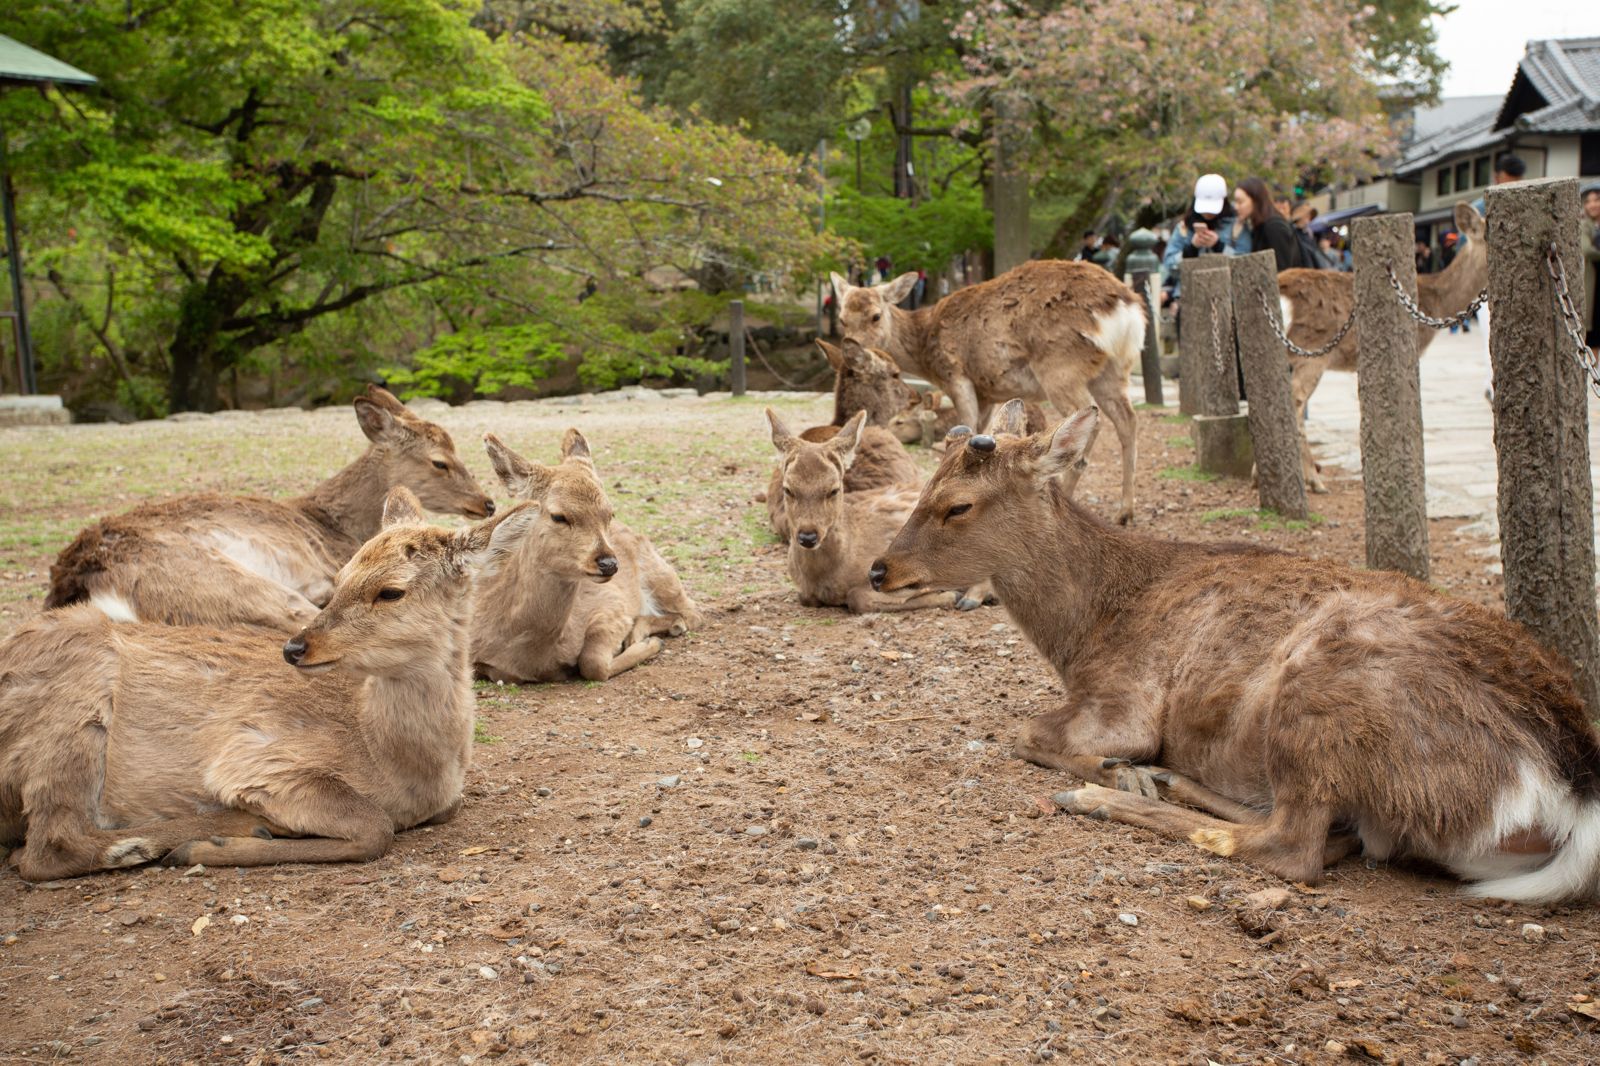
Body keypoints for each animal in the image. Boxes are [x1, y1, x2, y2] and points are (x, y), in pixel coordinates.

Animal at [0, 489, 538, 881]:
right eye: (340, 575)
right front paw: (209, 844)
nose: (295, 648)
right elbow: (374, 827)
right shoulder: (255, 756)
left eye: (391, 591)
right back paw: (213, 831)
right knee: (47, 849)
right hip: (75, 708)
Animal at [472, 429, 700, 683]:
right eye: (558, 516)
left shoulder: (612, 605)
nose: (609, 563)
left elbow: (593, 663)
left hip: (661, 575)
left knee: (693, 613)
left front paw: (651, 643)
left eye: (610, 513)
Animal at [767, 408, 958, 614]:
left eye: (834, 489)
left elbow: (859, 597)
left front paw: (952, 594)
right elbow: (805, 597)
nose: (808, 537)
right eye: (787, 489)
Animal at [831, 260, 1145, 524]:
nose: (852, 348)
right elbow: (983, 431)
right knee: (1127, 419)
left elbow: (966, 423)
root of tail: (1126, 310)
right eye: (842, 318)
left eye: (875, 316)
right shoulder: (988, 392)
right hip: (1114, 370)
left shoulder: (957, 375)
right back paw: (1125, 512)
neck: (925, 352)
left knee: (1089, 426)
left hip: (1060, 367)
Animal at [868, 400, 1600, 903]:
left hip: (1323, 691)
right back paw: (1166, 782)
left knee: (1293, 846)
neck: (1084, 631)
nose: (878, 570)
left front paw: (1112, 770)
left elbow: (1026, 732)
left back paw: (1104, 794)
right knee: (1331, 832)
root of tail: (1567, 787)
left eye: (957, 505)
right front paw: (1133, 772)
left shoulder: (1125, 698)